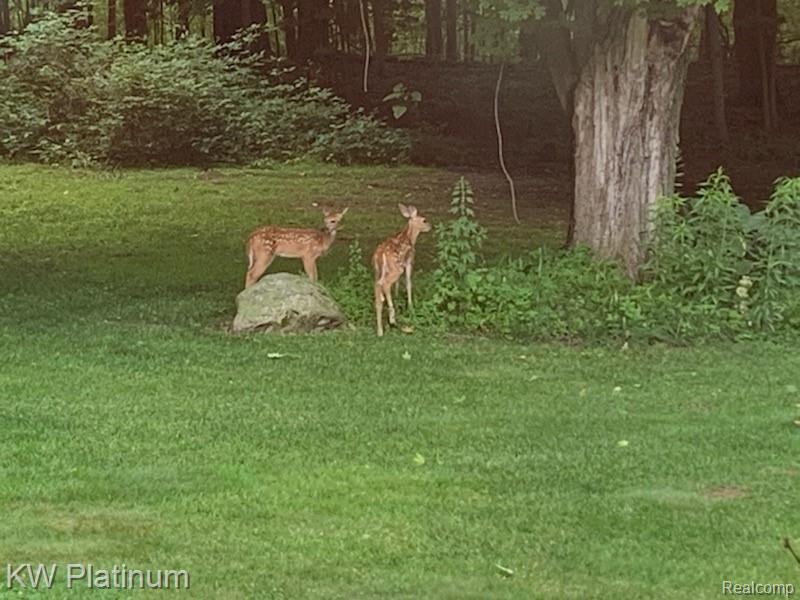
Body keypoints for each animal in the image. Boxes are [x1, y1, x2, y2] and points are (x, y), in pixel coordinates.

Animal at [372, 204, 432, 336]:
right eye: (424, 220)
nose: (430, 226)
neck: (410, 238)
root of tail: (380, 254)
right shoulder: (409, 262)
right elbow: (409, 283)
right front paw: (410, 305)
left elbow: (398, 284)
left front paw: (397, 297)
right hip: (395, 269)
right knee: (385, 284)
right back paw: (392, 319)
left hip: (378, 270)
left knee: (378, 287)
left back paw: (380, 330)